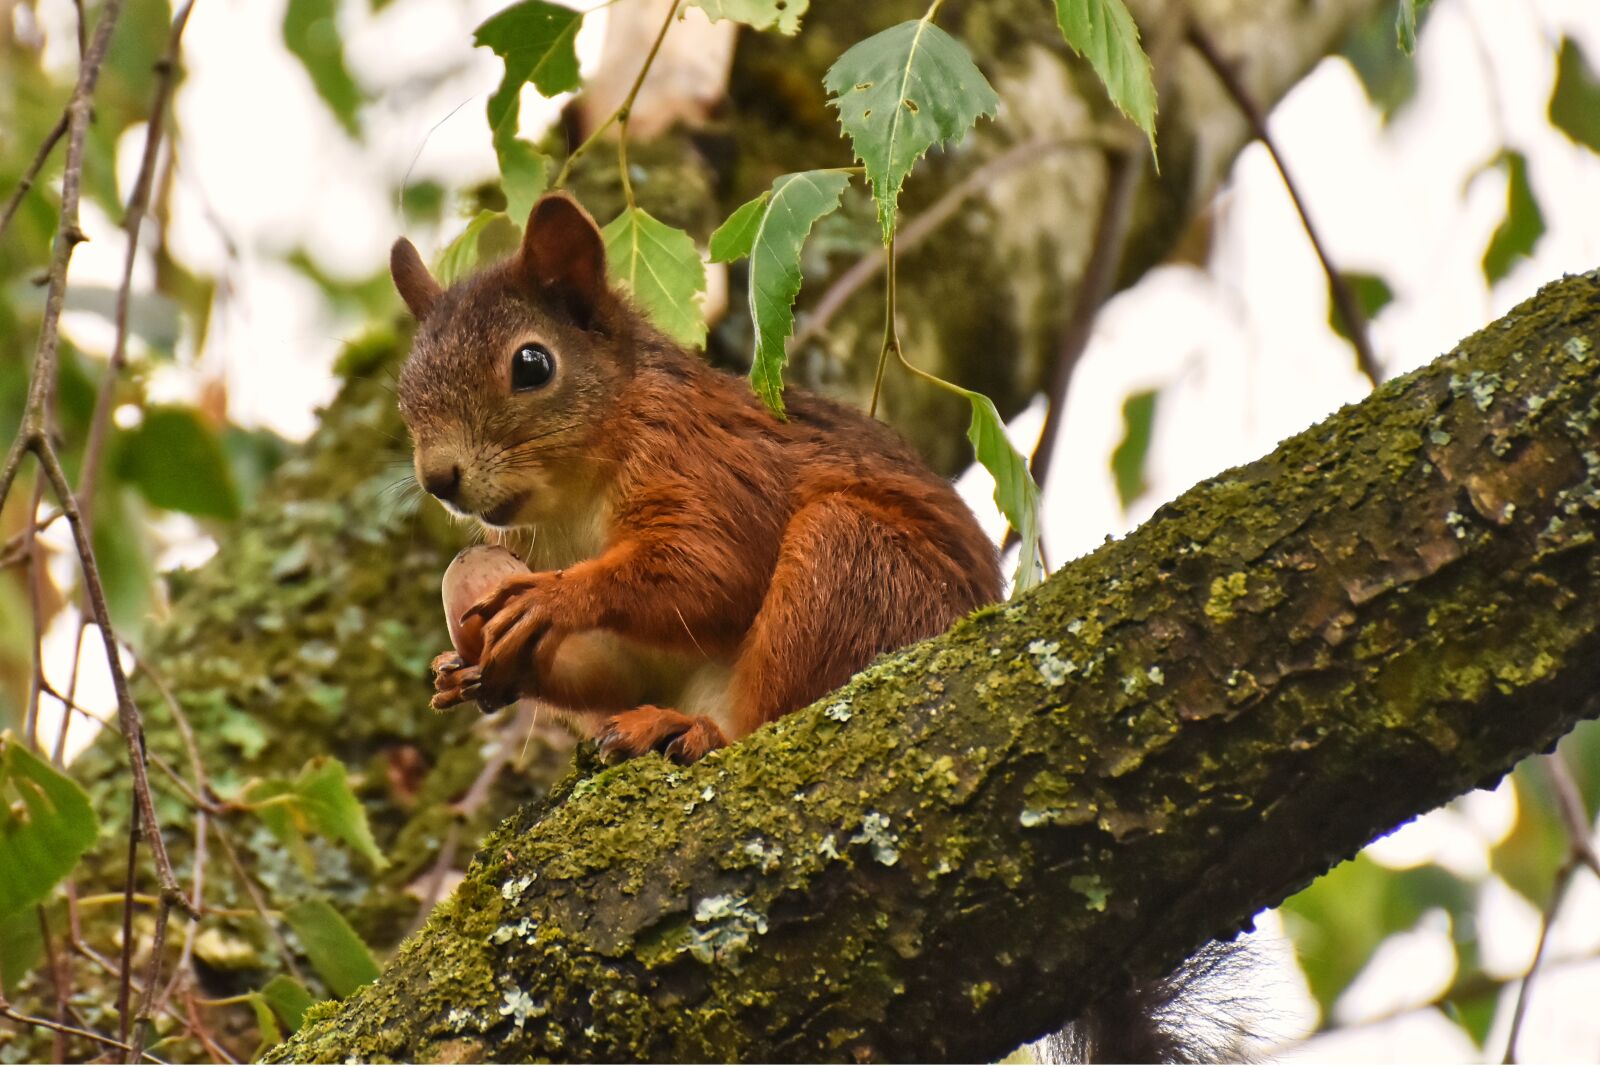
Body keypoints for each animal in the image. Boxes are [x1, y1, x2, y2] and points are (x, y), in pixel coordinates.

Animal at [389, 191, 1003, 762]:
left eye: (532, 365)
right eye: (405, 390)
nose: (438, 479)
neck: (571, 506)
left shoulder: (703, 462)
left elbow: (711, 567)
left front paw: (555, 596)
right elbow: (617, 673)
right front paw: (469, 671)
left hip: (861, 569)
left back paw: (690, 729)